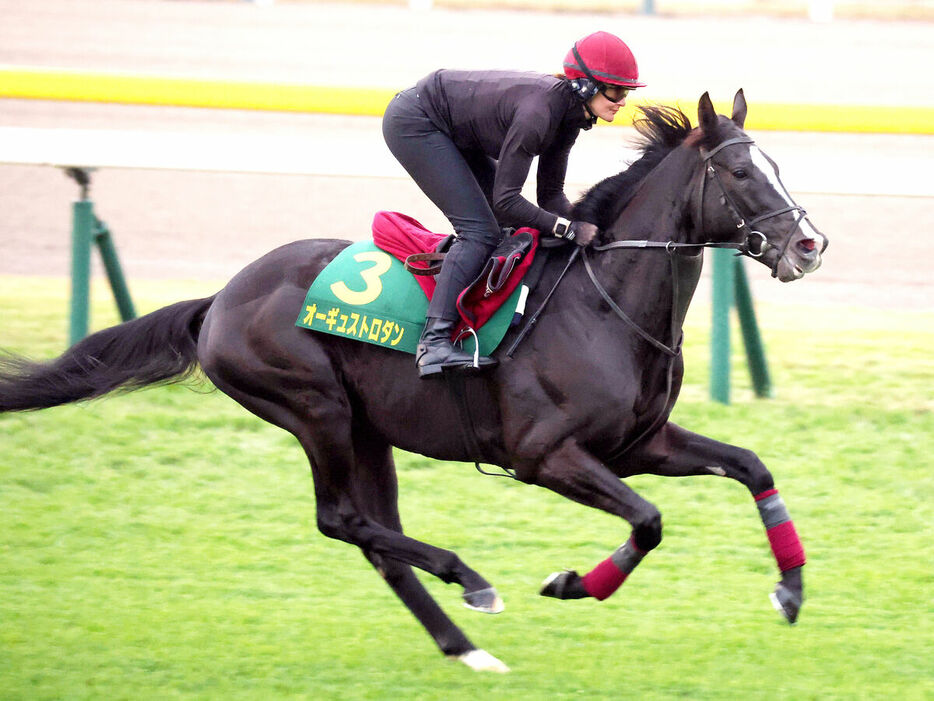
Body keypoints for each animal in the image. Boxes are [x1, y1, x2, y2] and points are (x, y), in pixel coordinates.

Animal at [0, 90, 828, 668]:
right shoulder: (546, 455)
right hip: (315, 408)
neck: (606, 300)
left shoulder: (639, 442)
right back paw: (471, 577)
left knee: (378, 542)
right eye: (740, 171)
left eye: (777, 166)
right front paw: (572, 582)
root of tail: (220, 301)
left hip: (369, 431)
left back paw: (466, 645)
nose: (810, 245)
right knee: (341, 519)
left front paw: (790, 589)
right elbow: (649, 519)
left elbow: (752, 466)